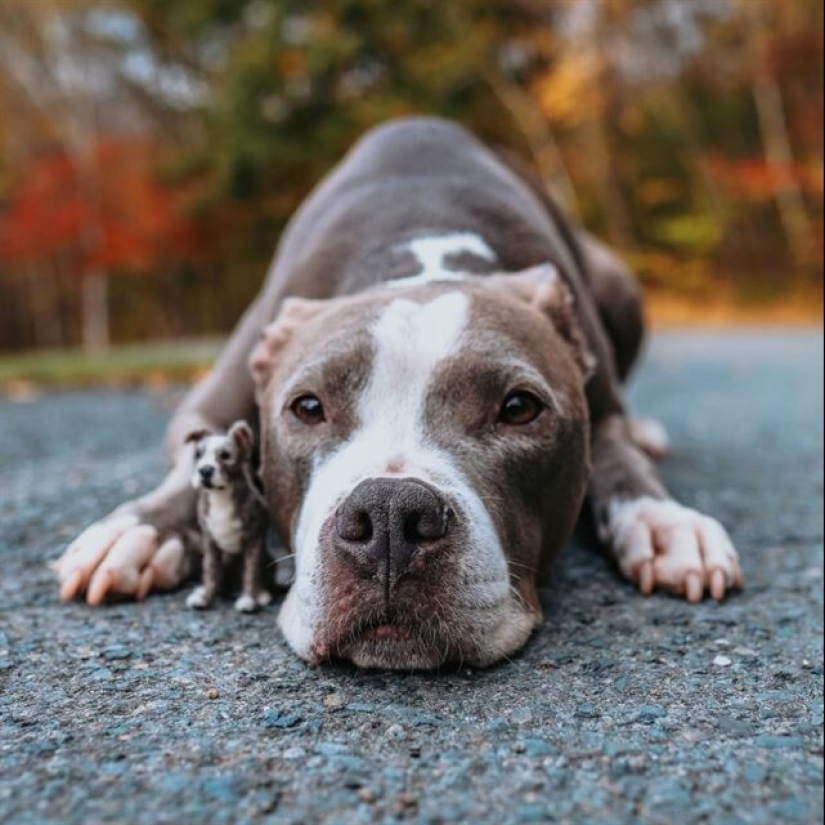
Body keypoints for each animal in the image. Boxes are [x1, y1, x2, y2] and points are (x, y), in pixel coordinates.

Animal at [184, 424, 270, 612]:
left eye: (225, 455)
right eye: (198, 454)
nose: (205, 470)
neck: (220, 495)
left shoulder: (254, 539)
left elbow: (251, 570)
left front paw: (248, 599)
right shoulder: (209, 541)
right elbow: (210, 569)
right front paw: (204, 597)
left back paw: (261, 595)